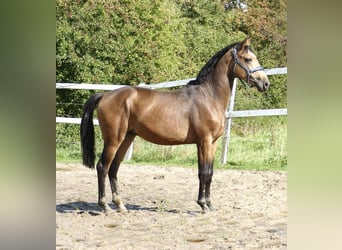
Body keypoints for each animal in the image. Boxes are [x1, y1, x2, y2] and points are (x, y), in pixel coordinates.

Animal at [80, 37, 270, 213]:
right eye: (248, 59)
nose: (265, 83)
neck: (209, 96)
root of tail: (105, 95)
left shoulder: (212, 143)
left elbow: (208, 173)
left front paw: (209, 204)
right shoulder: (204, 141)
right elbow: (204, 172)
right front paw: (203, 205)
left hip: (127, 138)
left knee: (113, 169)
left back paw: (120, 205)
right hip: (113, 140)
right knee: (102, 167)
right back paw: (105, 206)